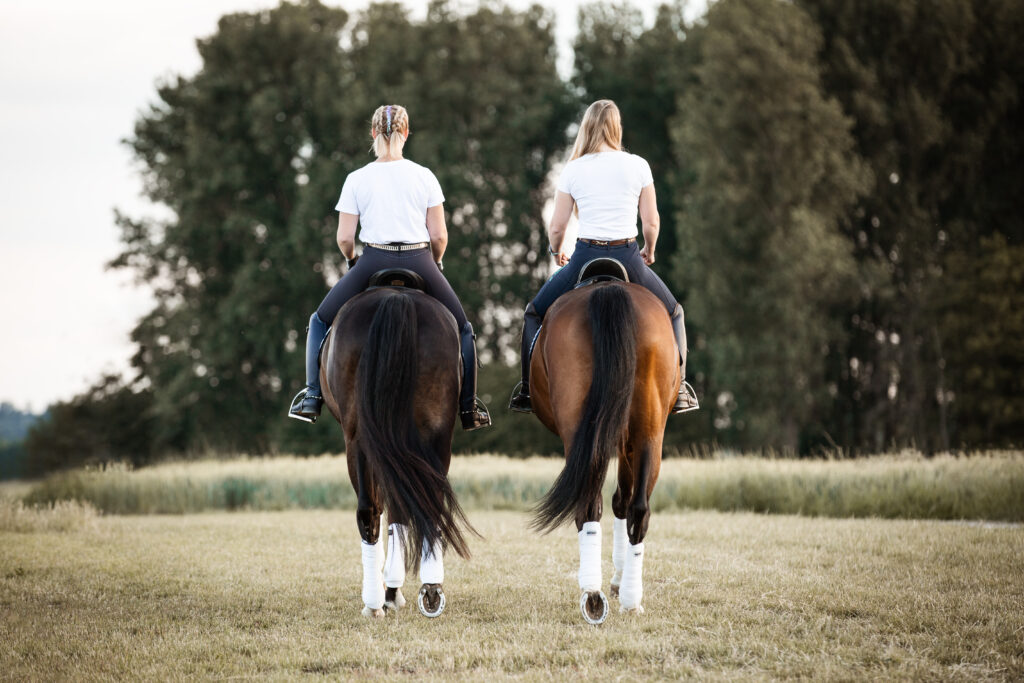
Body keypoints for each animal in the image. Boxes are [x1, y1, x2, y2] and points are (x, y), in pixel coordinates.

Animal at [319, 272, 475, 618]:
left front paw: (390, 591)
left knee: (371, 510)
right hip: (434, 434)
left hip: (360, 439)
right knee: (419, 503)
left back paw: (376, 602)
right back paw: (427, 591)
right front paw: (394, 589)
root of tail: (396, 297)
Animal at [528, 274, 679, 626]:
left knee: (597, 505)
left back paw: (596, 595)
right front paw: (619, 582)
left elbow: (618, 501)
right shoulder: (627, 442)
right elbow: (622, 500)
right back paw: (622, 598)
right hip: (648, 431)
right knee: (635, 508)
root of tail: (609, 289)